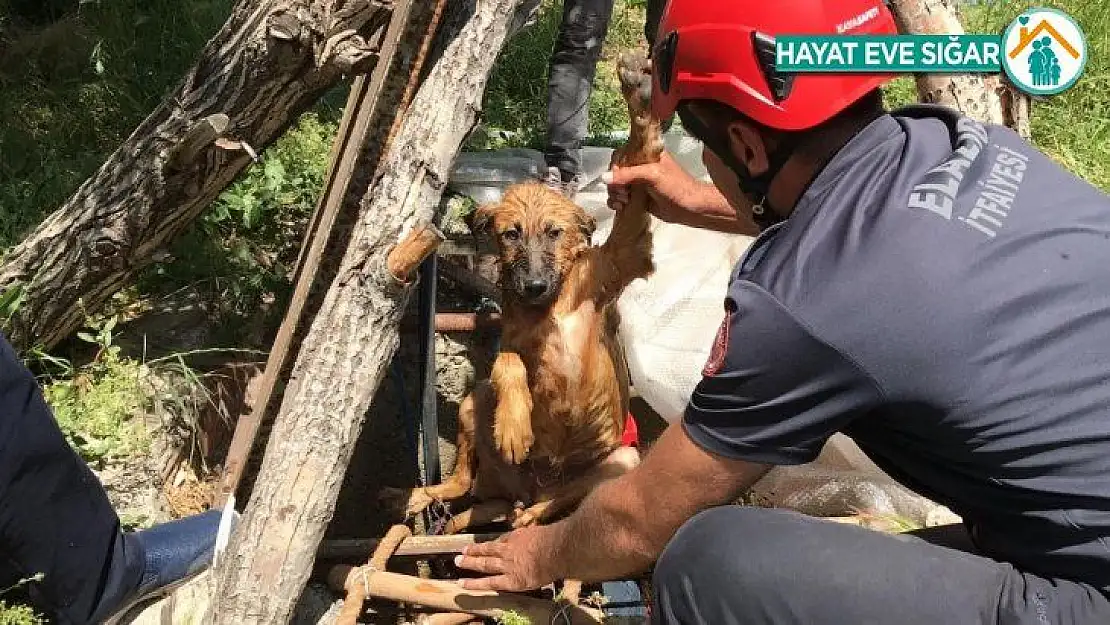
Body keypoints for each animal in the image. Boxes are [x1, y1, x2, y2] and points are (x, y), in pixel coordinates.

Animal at [386, 50, 661, 532]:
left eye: (554, 232)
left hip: (621, 459)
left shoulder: (621, 256)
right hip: (473, 408)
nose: (532, 286)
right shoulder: (511, 341)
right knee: (462, 482)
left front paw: (641, 91)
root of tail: (522, 491)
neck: (552, 306)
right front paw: (515, 426)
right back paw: (422, 497)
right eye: (511, 234)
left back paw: (528, 517)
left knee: (554, 505)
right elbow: (506, 362)